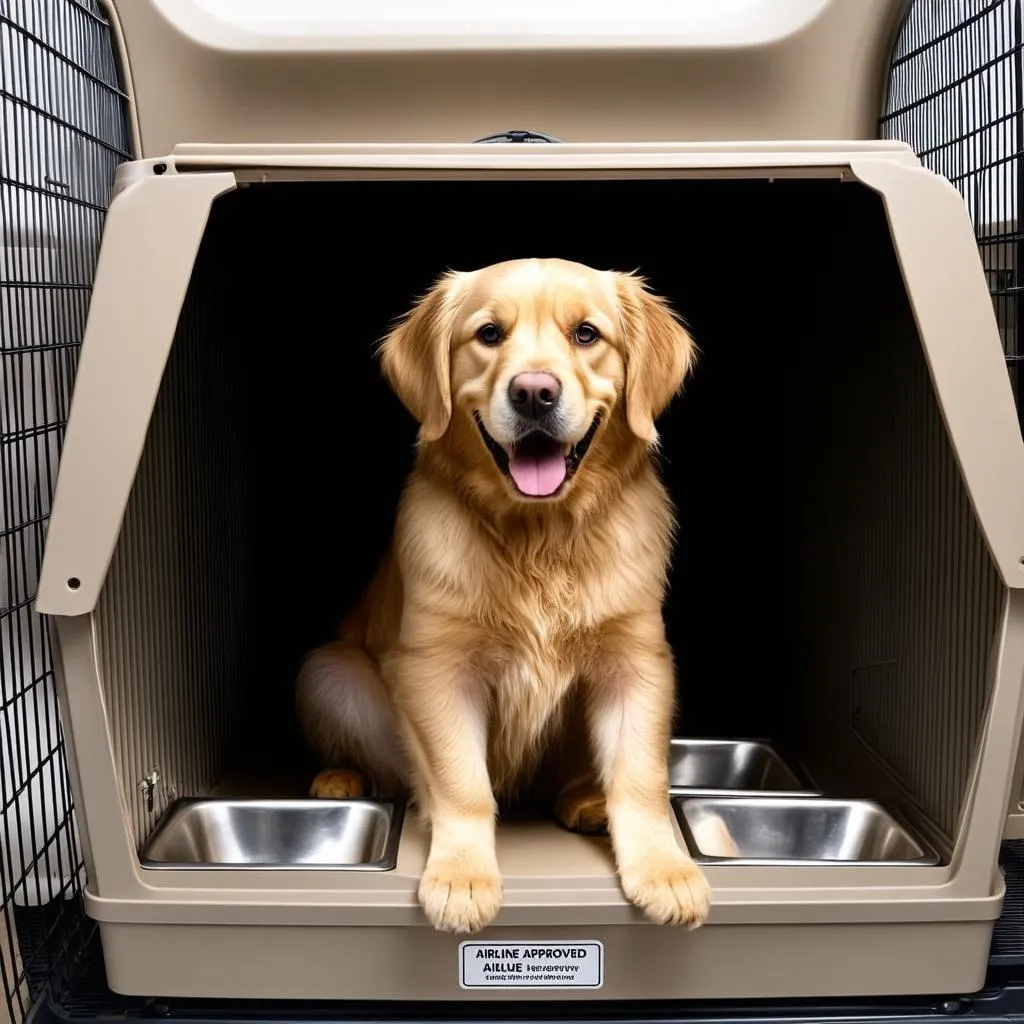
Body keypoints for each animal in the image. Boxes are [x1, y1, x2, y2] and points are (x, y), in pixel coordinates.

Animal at [299, 258, 708, 937]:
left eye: (586, 334)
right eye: (489, 335)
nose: (534, 392)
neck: (538, 534)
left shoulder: (636, 660)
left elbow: (639, 777)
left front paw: (664, 869)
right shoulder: (436, 667)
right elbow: (464, 784)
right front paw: (462, 877)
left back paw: (585, 801)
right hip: (330, 669)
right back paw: (339, 779)